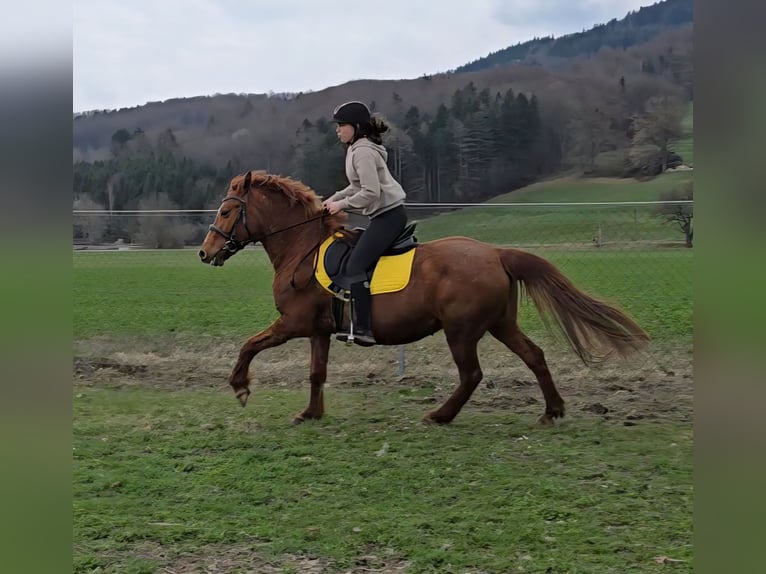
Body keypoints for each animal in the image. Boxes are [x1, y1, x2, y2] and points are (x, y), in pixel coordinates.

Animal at [198, 170, 649, 426]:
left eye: (226, 212)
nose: (205, 252)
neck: (301, 249)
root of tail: (496, 252)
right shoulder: (318, 331)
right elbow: (316, 373)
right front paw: (311, 414)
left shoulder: (293, 324)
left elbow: (249, 345)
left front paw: (240, 388)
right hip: (499, 324)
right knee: (534, 356)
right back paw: (552, 410)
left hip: (461, 330)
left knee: (472, 374)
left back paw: (439, 415)